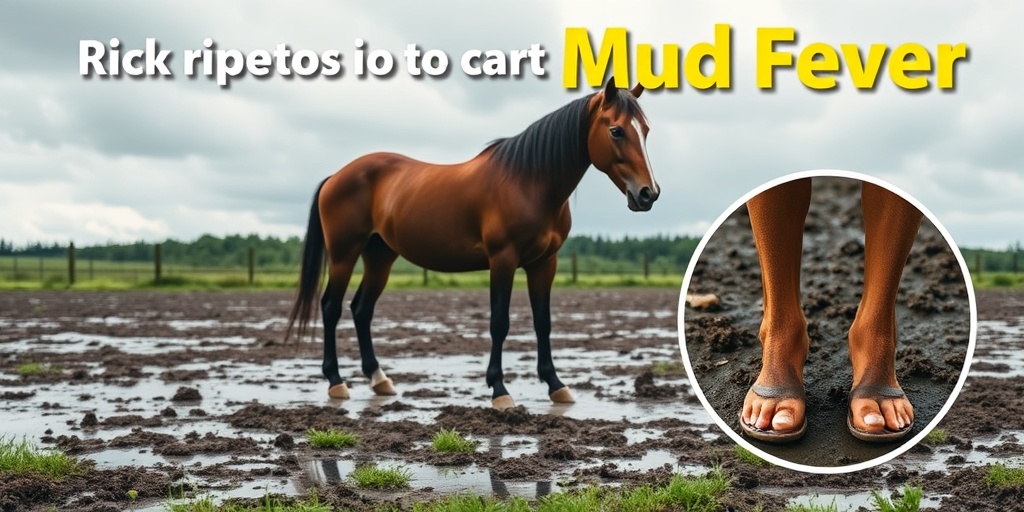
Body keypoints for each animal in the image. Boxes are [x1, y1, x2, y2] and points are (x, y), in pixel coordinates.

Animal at [284, 79, 660, 410]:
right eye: (616, 131)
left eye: (645, 130)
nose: (648, 194)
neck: (529, 182)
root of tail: (336, 176)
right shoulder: (503, 259)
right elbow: (499, 322)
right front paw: (499, 391)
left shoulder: (544, 262)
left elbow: (543, 322)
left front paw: (556, 386)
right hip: (344, 254)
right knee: (331, 307)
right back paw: (336, 382)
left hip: (380, 256)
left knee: (362, 309)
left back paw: (380, 380)